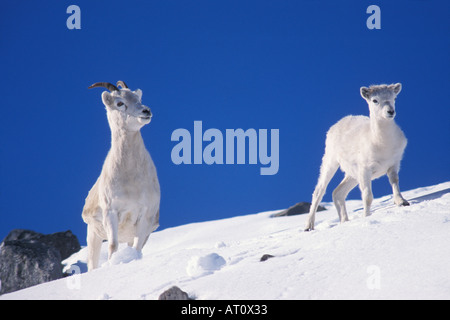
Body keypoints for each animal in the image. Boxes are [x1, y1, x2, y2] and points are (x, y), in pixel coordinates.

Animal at [81, 80, 161, 270]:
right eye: (119, 103)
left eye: (138, 98)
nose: (146, 111)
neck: (131, 182)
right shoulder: (111, 214)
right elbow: (113, 245)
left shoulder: (144, 217)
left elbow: (137, 248)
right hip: (93, 235)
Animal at [304, 84, 410, 231]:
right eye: (375, 100)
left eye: (394, 98)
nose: (390, 112)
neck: (382, 143)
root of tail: (337, 124)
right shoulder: (365, 170)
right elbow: (367, 196)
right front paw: (366, 216)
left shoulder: (393, 165)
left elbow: (395, 183)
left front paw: (402, 202)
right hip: (330, 162)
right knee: (319, 191)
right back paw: (309, 226)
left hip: (352, 175)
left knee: (338, 193)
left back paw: (344, 221)